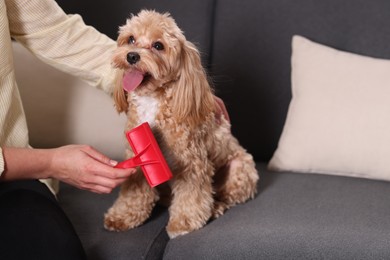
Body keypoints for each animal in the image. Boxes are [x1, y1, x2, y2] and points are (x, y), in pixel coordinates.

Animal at [103, 9, 258, 238]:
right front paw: (122, 216)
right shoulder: (139, 157)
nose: (132, 55)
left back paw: (216, 207)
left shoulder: (192, 162)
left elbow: (191, 195)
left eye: (158, 45)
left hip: (240, 169)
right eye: (130, 39)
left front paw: (183, 224)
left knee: (222, 195)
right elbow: (135, 191)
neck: (152, 100)